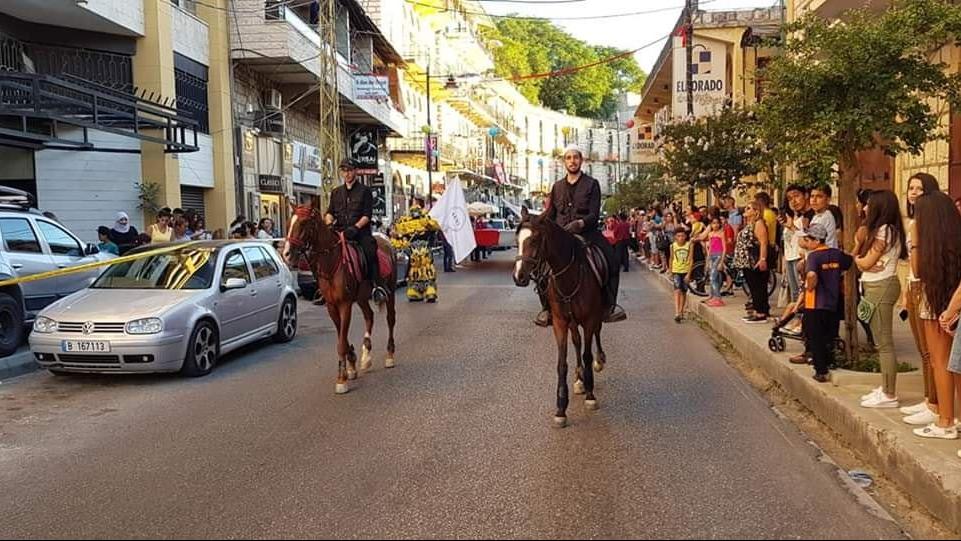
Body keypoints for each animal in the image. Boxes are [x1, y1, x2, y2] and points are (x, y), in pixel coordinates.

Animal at [282, 205, 398, 394]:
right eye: (288, 223)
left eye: (304, 223)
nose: (286, 254)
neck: (330, 262)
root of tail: (385, 240)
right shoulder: (332, 306)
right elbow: (341, 338)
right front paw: (351, 364)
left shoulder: (345, 305)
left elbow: (341, 342)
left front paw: (342, 378)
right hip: (362, 297)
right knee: (369, 316)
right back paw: (366, 355)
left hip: (390, 292)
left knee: (390, 319)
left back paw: (389, 355)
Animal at [510, 208, 608, 426]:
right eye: (516, 240)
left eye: (535, 239)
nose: (519, 277)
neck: (569, 277)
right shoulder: (560, 323)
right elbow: (562, 363)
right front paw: (561, 407)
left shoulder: (589, 319)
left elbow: (587, 354)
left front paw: (590, 396)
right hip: (572, 322)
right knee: (577, 342)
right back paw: (579, 379)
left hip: (595, 317)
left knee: (596, 334)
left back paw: (599, 362)